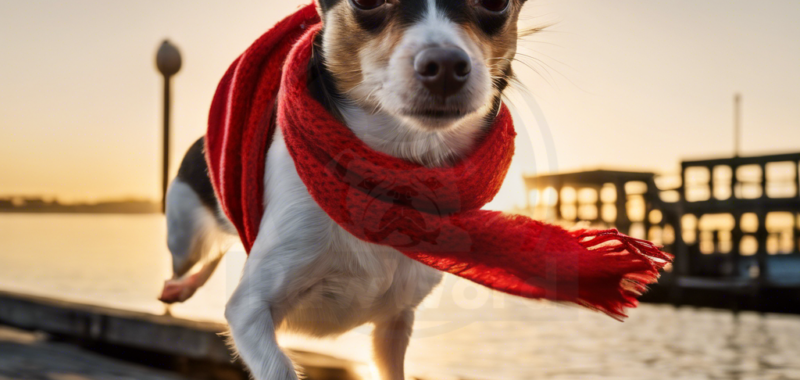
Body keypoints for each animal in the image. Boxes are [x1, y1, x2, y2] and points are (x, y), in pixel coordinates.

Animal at [162, 0, 532, 378]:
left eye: (495, 4)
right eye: (367, 3)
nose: (444, 65)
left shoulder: (394, 323)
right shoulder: (249, 311)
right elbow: (278, 366)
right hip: (184, 241)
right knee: (193, 257)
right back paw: (177, 288)